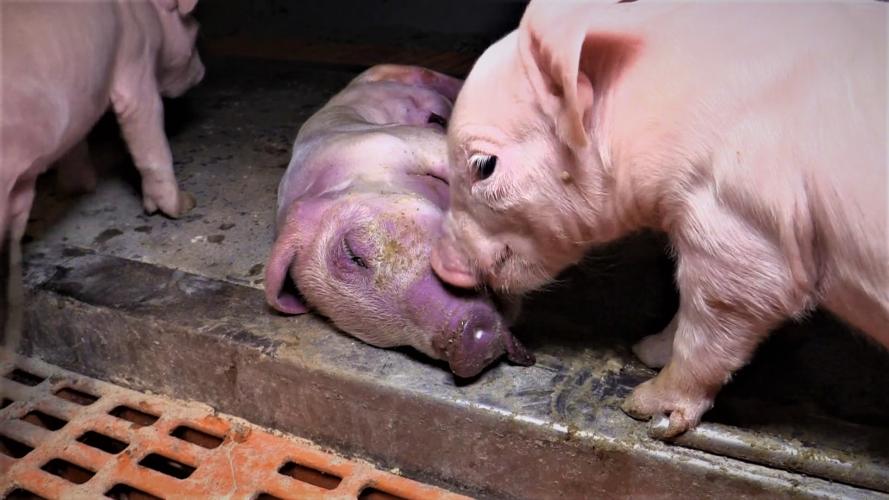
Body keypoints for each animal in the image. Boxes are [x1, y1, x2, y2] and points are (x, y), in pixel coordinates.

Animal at [428, 0, 880, 438]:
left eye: (484, 165)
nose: (437, 263)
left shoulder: (741, 234)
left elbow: (711, 327)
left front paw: (643, 409)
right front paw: (644, 349)